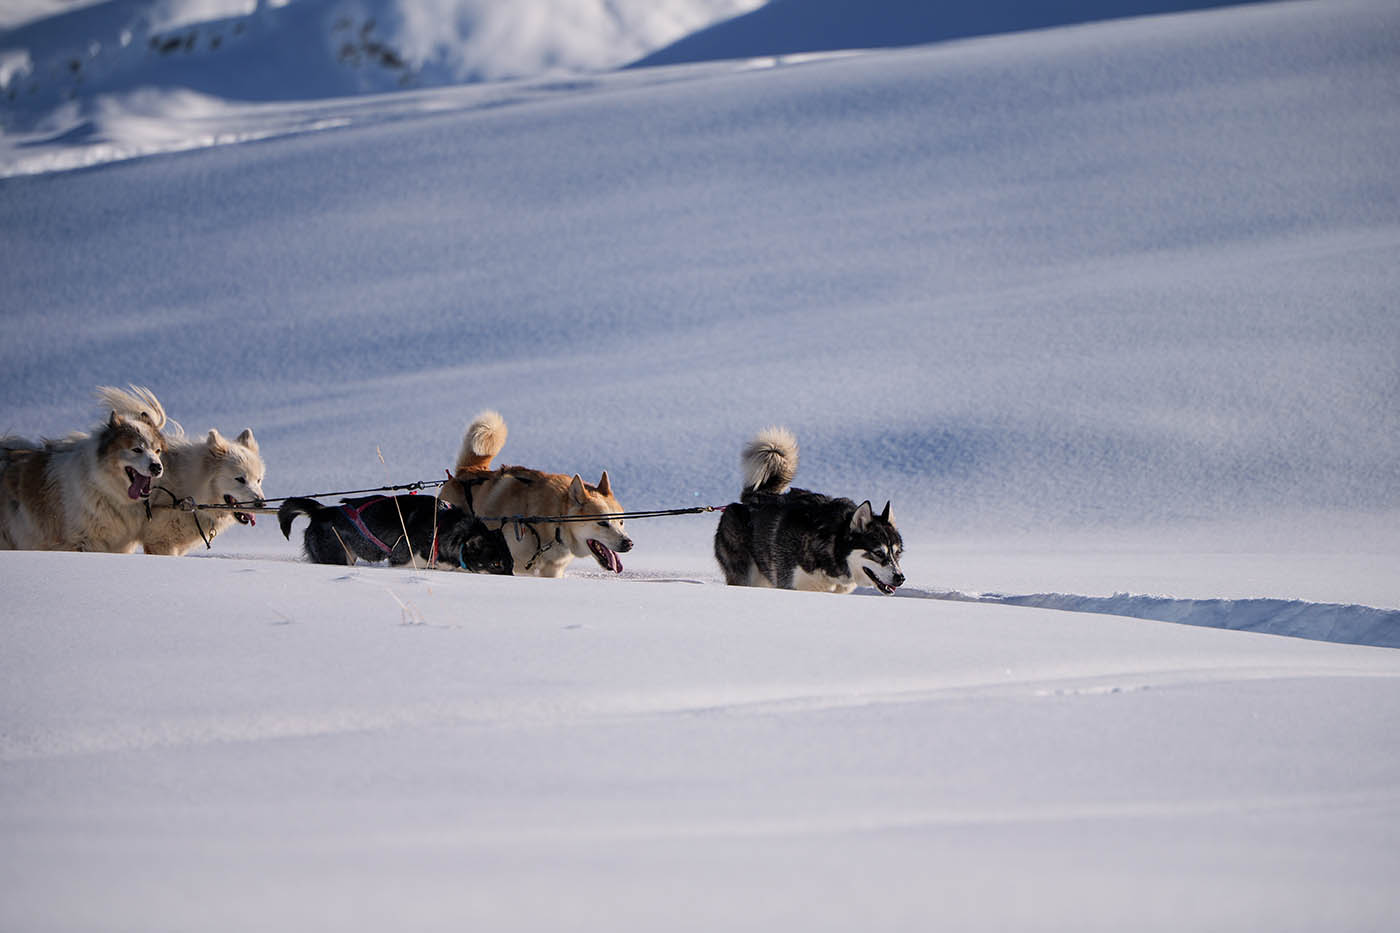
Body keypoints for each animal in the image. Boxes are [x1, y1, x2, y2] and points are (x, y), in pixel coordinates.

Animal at [439, 411, 632, 577]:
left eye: (621, 522)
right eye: (602, 522)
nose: (628, 543)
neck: (554, 524)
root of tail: (467, 471)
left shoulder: (552, 571)